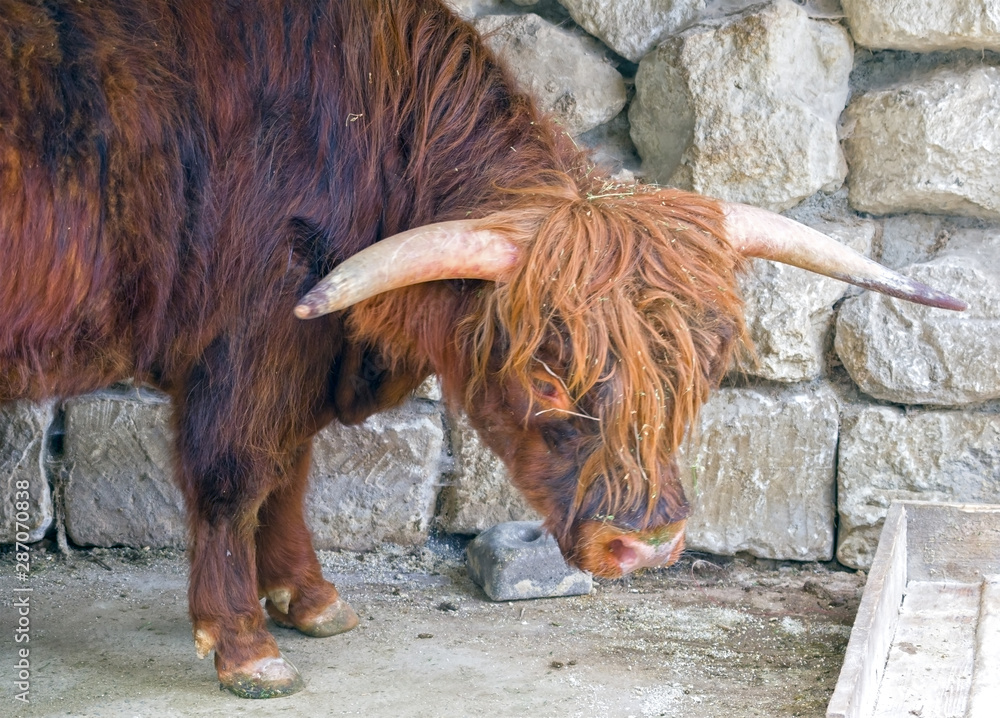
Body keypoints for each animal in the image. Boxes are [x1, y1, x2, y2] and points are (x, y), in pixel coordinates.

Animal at [1, 0, 963, 699]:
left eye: (698, 369)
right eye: (549, 372)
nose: (649, 546)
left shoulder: (295, 361)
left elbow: (291, 472)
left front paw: (311, 601)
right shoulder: (245, 349)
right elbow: (238, 477)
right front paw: (245, 647)